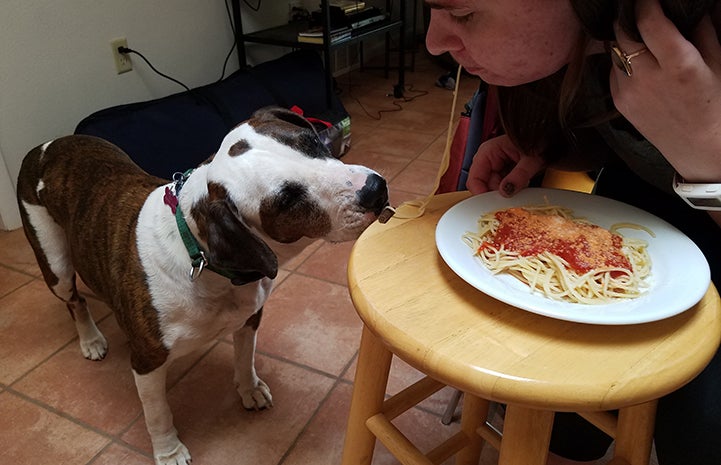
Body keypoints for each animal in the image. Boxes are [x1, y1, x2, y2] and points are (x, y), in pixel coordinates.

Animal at [15, 106, 388, 464]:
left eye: (310, 142)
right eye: (287, 201)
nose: (374, 189)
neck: (199, 255)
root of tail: (42, 147)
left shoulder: (249, 317)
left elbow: (245, 358)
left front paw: (249, 389)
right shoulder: (147, 361)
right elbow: (158, 413)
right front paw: (168, 451)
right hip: (55, 263)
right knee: (73, 299)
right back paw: (91, 339)